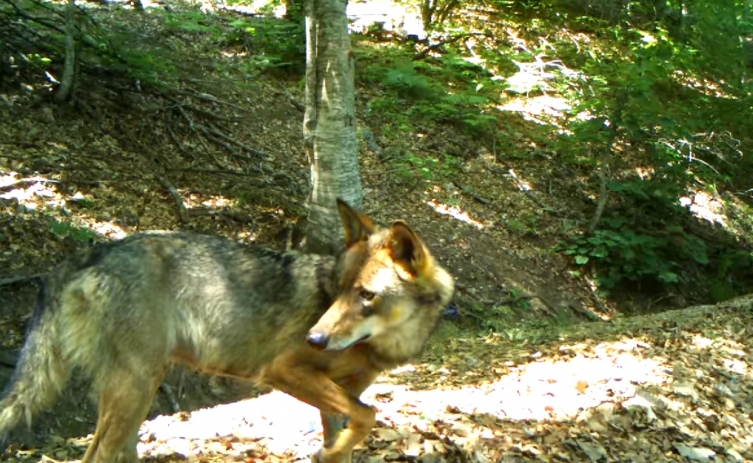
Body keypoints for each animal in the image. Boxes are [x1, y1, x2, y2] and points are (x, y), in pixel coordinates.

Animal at [0, 201, 452, 463]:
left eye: (364, 295)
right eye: (337, 290)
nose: (314, 339)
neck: (383, 345)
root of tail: (85, 254)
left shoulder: (343, 394)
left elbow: (351, 428)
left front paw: (331, 453)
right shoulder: (284, 371)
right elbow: (369, 415)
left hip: (137, 395)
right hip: (135, 389)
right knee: (94, 456)